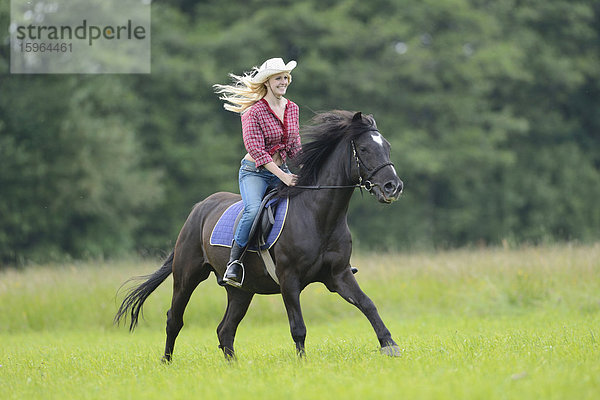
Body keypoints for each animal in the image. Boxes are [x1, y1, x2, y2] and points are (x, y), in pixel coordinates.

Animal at [113, 111, 404, 360]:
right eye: (364, 149)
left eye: (387, 147)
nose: (394, 187)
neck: (317, 215)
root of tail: (198, 209)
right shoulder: (289, 280)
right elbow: (298, 327)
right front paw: (303, 364)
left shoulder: (338, 275)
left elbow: (368, 305)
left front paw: (390, 346)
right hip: (187, 275)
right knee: (174, 319)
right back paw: (166, 362)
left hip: (242, 290)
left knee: (225, 329)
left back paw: (234, 367)